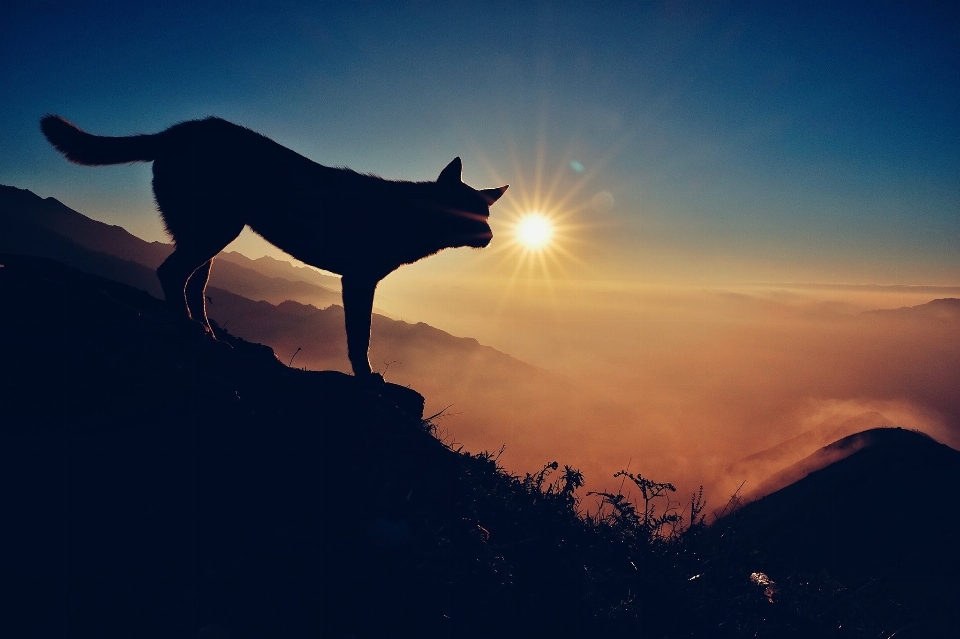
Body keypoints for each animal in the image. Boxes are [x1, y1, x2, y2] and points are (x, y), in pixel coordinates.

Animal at [41, 114, 506, 380]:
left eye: (485, 214)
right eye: (469, 212)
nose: (488, 236)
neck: (408, 216)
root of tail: (181, 130)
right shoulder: (358, 280)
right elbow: (360, 337)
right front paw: (366, 377)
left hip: (204, 234)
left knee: (192, 282)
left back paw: (208, 334)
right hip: (216, 229)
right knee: (171, 273)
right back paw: (190, 330)